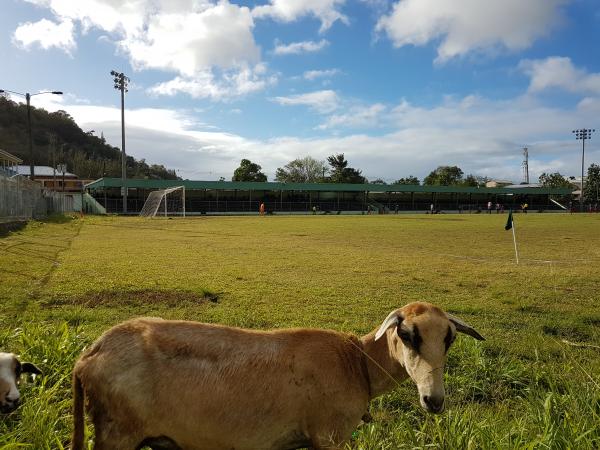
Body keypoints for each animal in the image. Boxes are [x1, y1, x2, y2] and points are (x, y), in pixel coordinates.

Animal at [71, 302, 482, 450]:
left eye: (449, 338)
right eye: (407, 335)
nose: (434, 400)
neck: (358, 363)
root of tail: (89, 356)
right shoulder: (328, 437)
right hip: (118, 434)